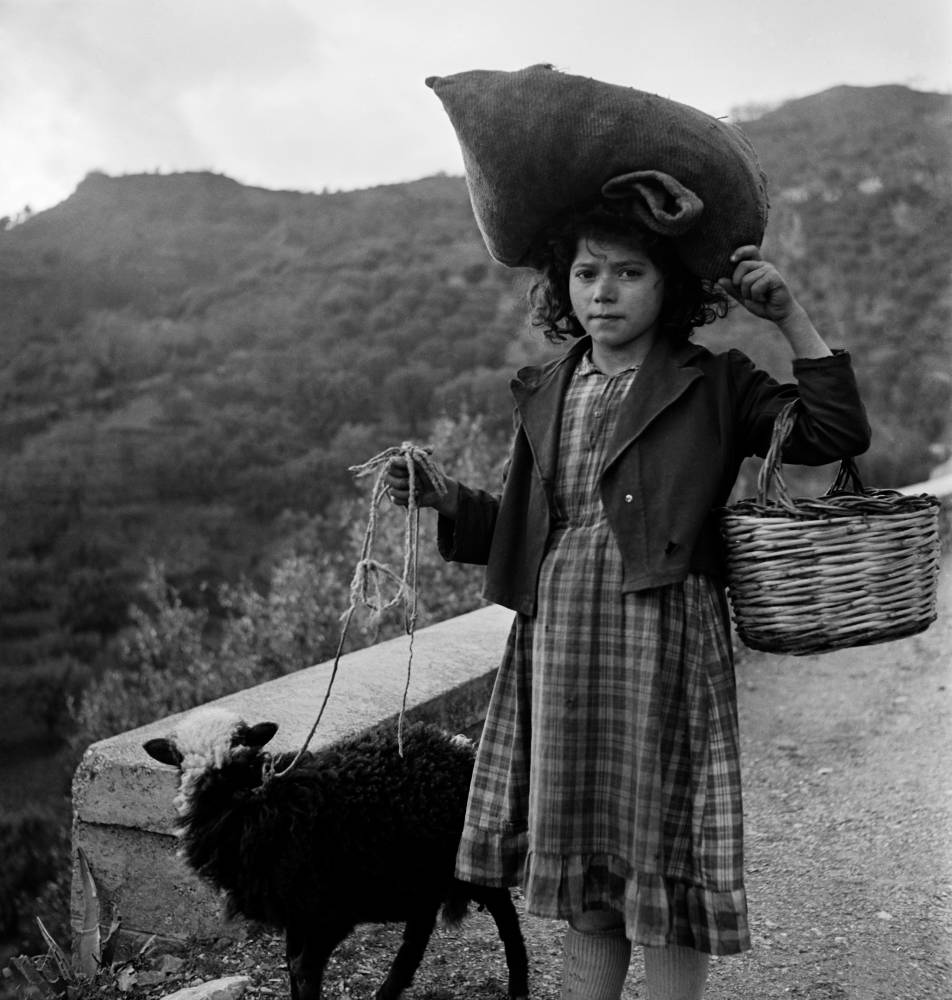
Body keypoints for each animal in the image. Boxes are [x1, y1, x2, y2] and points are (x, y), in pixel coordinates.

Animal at [143, 708, 528, 1000]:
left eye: (238, 754)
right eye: (178, 761)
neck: (260, 802)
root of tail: (461, 747)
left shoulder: (329, 911)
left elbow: (305, 969)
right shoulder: (297, 911)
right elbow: (292, 964)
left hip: (466, 858)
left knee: (505, 917)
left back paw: (518, 987)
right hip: (419, 871)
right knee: (418, 932)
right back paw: (386, 993)